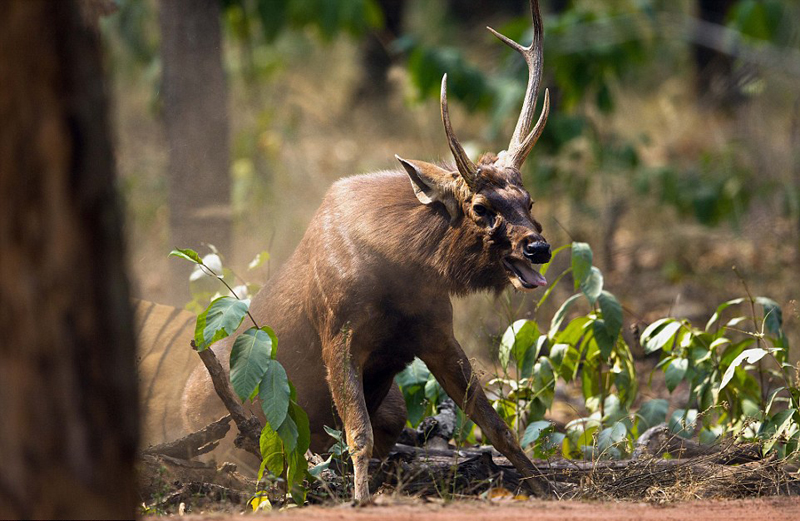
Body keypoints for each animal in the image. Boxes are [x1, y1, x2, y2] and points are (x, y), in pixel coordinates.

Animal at [184, 0, 552, 498]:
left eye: (529, 200)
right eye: (479, 207)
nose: (539, 247)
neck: (401, 271)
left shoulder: (436, 332)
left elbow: (496, 424)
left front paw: (547, 487)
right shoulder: (339, 334)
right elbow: (358, 435)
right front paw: (359, 499)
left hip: (392, 399)